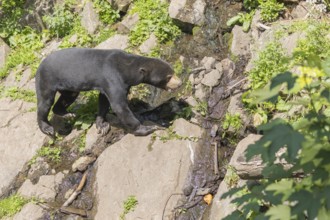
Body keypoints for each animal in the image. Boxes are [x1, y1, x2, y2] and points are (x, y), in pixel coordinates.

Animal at [34, 49, 182, 137]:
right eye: (168, 77)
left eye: (173, 72)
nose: (180, 82)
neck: (127, 69)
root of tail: (39, 66)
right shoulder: (113, 78)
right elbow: (119, 106)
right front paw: (149, 128)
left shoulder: (119, 84)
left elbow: (104, 100)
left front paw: (102, 125)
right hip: (46, 80)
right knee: (45, 103)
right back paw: (47, 128)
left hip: (68, 86)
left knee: (68, 97)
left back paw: (68, 114)